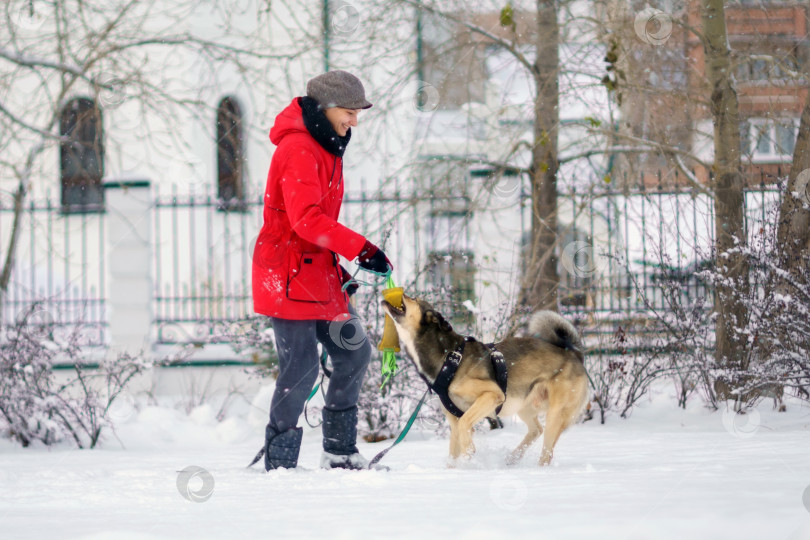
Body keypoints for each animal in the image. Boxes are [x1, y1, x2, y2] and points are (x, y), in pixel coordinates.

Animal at [378, 296, 588, 464]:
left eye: (412, 298)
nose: (400, 293)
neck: (448, 359)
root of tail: (574, 353)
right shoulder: (454, 420)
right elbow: (454, 449)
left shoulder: (492, 395)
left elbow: (465, 426)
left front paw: (470, 453)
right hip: (524, 405)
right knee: (536, 429)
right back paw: (512, 459)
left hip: (556, 413)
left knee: (547, 452)